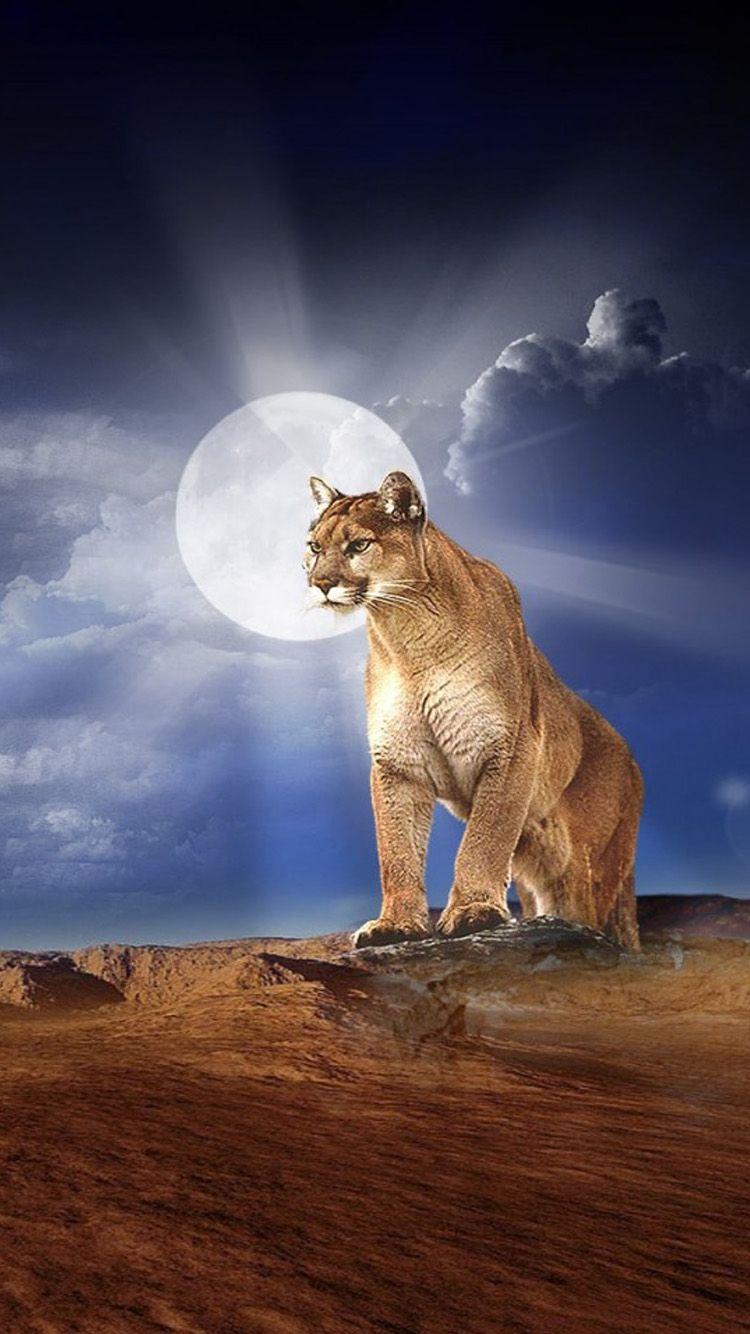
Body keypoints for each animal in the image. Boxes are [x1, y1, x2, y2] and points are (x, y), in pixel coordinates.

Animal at [304, 470, 643, 951]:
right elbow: (396, 850)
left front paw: (473, 912)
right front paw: (396, 924)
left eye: (359, 545)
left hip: (590, 864)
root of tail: (632, 759)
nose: (319, 583)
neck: (408, 637)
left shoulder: (510, 747)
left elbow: (483, 840)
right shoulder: (397, 763)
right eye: (314, 547)